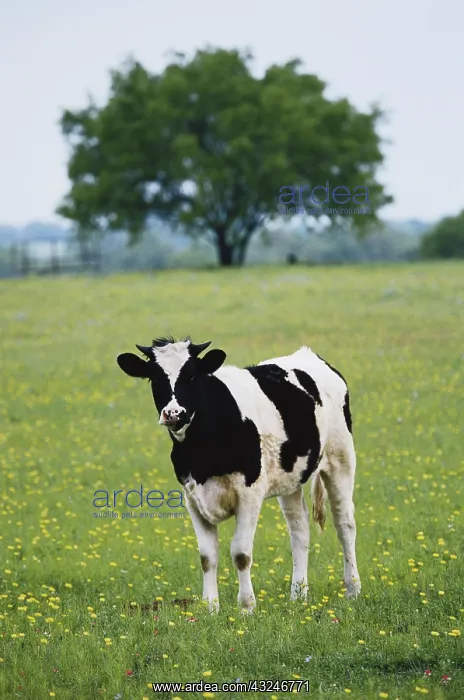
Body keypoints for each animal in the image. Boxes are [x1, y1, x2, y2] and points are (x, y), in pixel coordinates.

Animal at [117, 336, 361, 612]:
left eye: (191, 375)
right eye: (154, 378)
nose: (173, 413)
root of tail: (311, 356)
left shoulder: (249, 494)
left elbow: (241, 553)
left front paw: (246, 607)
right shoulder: (192, 497)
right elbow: (207, 556)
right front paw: (211, 607)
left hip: (341, 458)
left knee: (345, 524)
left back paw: (353, 590)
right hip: (291, 478)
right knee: (299, 529)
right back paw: (298, 595)